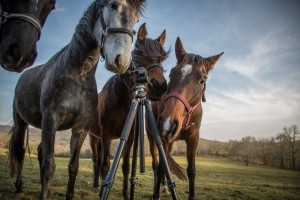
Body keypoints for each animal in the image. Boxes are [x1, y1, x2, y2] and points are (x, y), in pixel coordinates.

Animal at [8, 0, 145, 199]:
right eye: (113, 5)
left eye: (136, 18)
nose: (122, 61)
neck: (78, 75)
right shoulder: (51, 121)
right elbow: (48, 167)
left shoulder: (80, 129)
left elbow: (73, 166)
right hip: (22, 124)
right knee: (19, 153)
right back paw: (19, 188)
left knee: (40, 151)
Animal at [88, 23, 170, 198]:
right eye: (139, 53)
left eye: (162, 58)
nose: (159, 87)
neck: (121, 100)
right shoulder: (106, 134)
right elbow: (106, 165)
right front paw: (103, 190)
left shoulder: (130, 136)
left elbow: (125, 166)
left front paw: (126, 193)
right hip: (92, 137)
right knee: (96, 160)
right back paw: (96, 184)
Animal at [150, 37, 223, 200]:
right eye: (171, 74)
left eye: (202, 81)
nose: (167, 124)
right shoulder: (163, 138)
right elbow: (161, 168)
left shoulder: (194, 139)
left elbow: (191, 171)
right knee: (157, 165)